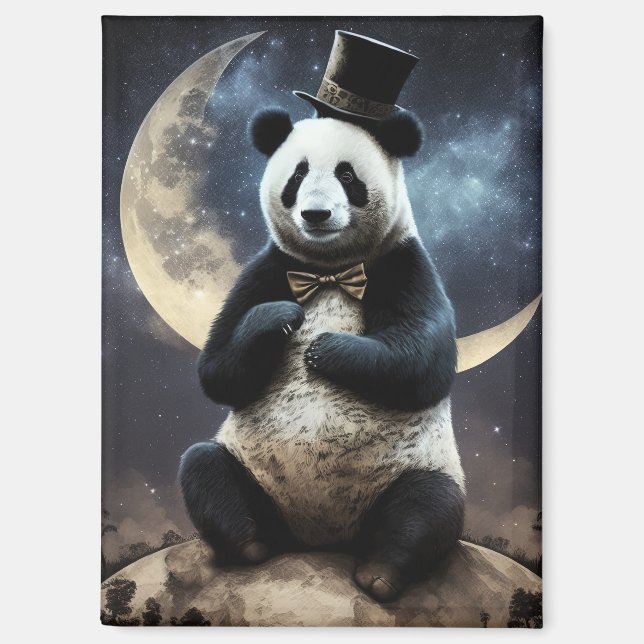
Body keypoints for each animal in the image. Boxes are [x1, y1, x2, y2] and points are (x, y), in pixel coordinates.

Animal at [179, 108, 465, 602]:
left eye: (347, 176)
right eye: (298, 174)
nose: (316, 213)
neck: (331, 271)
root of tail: (320, 538)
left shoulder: (404, 262)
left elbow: (425, 362)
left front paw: (325, 350)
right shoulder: (267, 269)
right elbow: (216, 368)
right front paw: (280, 318)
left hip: (418, 468)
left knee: (427, 507)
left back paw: (380, 573)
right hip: (252, 473)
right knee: (205, 468)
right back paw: (251, 545)